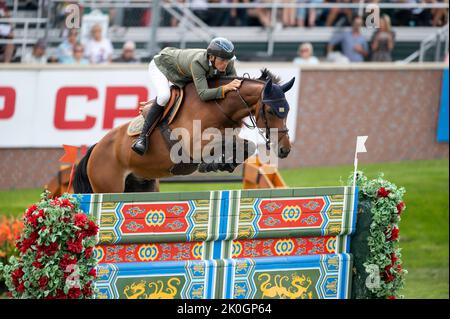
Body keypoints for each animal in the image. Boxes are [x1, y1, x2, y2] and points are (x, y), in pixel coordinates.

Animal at [74, 69, 296, 195]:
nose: (285, 149)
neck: (216, 106)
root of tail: (95, 150)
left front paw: (225, 163)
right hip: (108, 188)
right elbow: (229, 144)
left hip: (142, 185)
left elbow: (244, 146)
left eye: (287, 110)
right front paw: (213, 164)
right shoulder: (192, 147)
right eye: (270, 111)